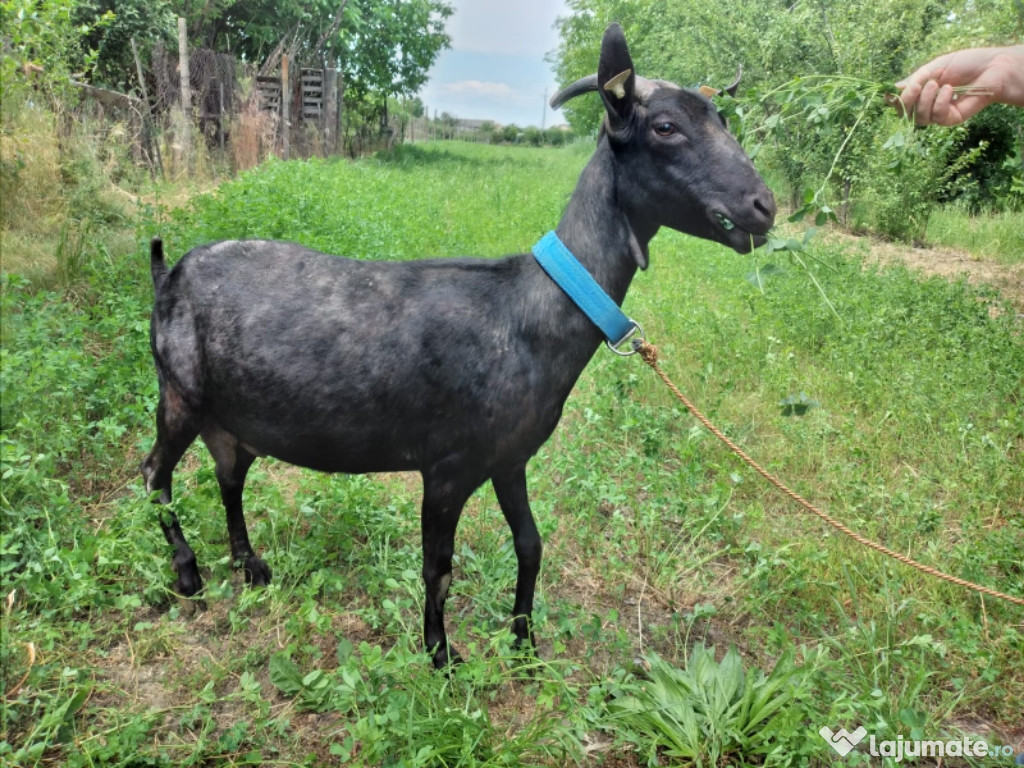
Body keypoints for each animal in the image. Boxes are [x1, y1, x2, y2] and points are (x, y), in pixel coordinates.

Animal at [142, 25, 774, 667]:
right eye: (665, 126)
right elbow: (438, 568)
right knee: (155, 474)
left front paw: (524, 641)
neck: (527, 312)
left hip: (233, 418)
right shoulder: (447, 466)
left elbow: (531, 545)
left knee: (229, 476)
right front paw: (441, 655)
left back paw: (249, 564)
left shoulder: (509, 459)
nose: (763, 207)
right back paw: (189, 574)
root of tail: (167, 274)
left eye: (722, 118)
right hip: (180, 394)